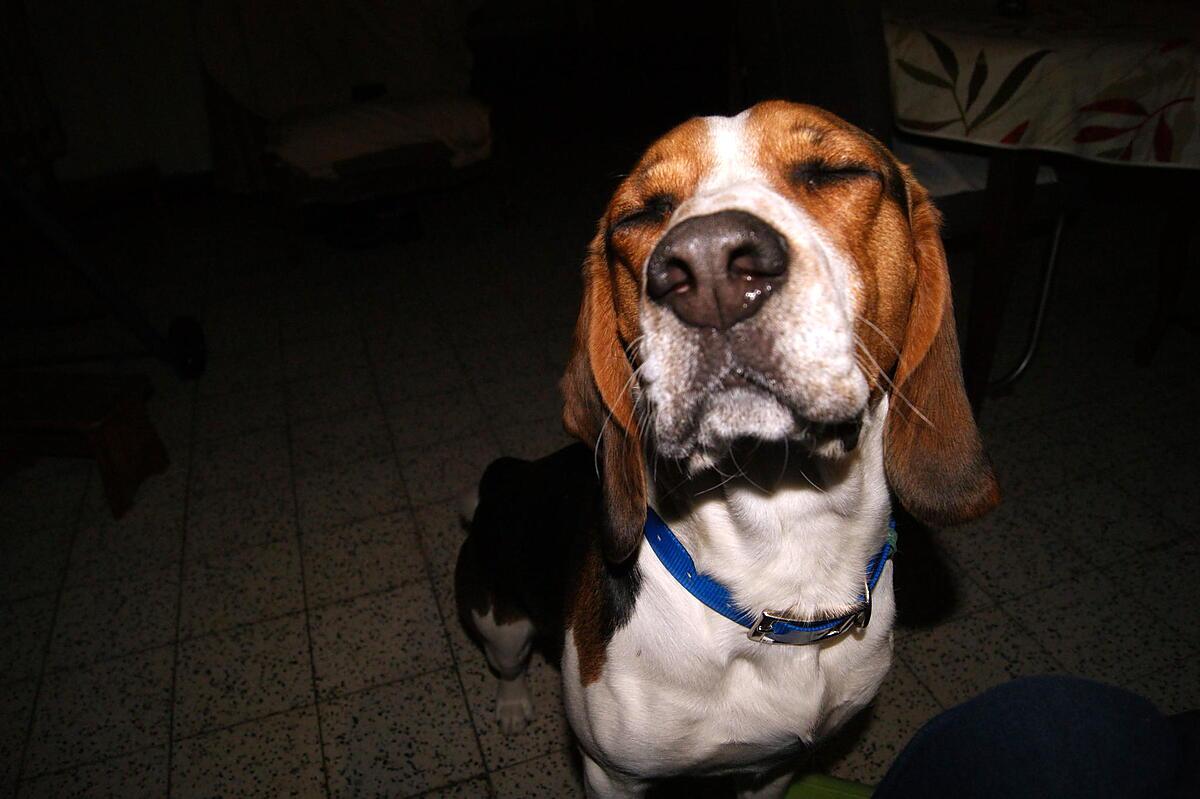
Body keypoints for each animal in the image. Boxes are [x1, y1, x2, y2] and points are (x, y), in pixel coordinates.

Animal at [453, 102, 998, 791]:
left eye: (834, 172)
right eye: (640, 214)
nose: (709, 268)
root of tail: (508, 474)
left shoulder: (773, 770)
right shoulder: (613, 776)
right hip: (497, 623)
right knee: (508, 662)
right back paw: (512, 704)